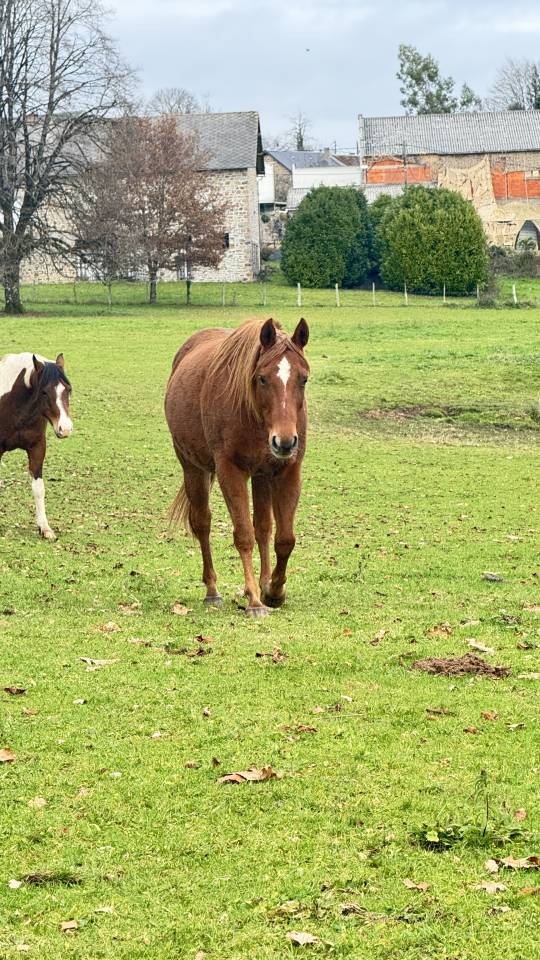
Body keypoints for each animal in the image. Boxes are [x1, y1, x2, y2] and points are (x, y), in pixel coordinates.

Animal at [0, 352, 73, 540]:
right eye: (44, 392)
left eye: (68, 389)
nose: (65, 429)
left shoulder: (37, 447)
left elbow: (39, 488)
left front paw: (45, 528)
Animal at [164, 317, 310, 617]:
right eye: (262, 378)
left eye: (304, 378)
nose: (285, 441)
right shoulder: (230, 471)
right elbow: (243, 535)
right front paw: (255, 600)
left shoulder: (286, 471)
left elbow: (283, 538)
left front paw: (273, 591)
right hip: (192, 466)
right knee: (202, 523)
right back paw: (213, 591)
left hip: (261, 476)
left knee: (263, 528)